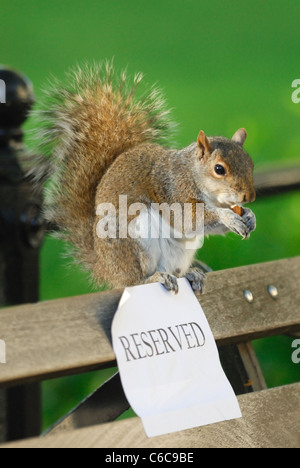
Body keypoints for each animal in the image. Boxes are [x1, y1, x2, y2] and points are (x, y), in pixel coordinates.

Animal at [29, 61, 255, 292]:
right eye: (219, 169)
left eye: (251, 164)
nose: (249, 197)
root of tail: (104, 268)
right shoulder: (172, 189)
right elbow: (187, 219)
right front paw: (228, 217)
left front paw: (249, 216)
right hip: (135, 239)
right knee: (134, 281)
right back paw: (154, 278)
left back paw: (191, 273)